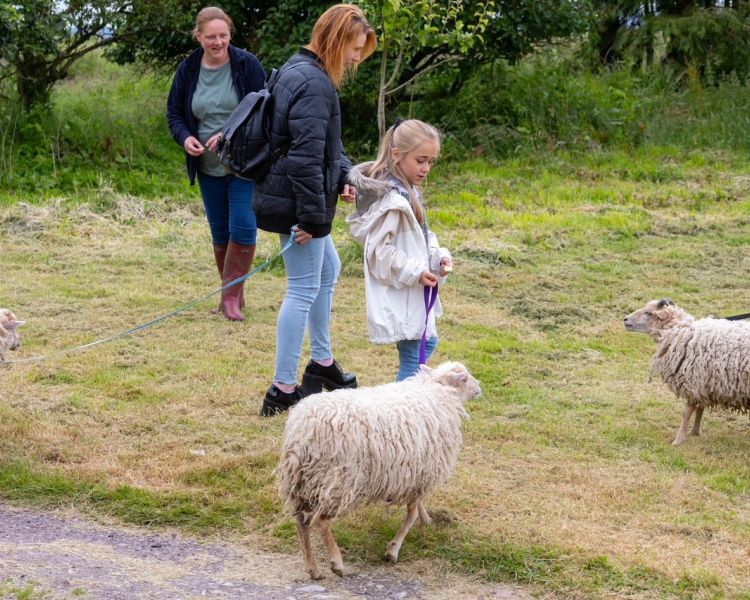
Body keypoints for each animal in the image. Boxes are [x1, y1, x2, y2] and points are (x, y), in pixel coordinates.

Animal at [277, 361, 481, 580]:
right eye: (465, 378)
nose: (479, 387)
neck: (437, 390)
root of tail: (304, 429)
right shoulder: (420, 474)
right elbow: (410, 516)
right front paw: (393, 550)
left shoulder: (416, 475)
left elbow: (417, 507)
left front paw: (426, 520)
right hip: (339, 480)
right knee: (321, 521)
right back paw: (336, 563)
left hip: (301, 480)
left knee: (301, 522)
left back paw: (313, 569)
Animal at [624, 298, 750, 446]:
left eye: (648, 312)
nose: (625, 319)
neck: (681, 331)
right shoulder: (702, 384)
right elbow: (700, 409)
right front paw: (695, 432)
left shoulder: (692, 381)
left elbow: (686, 413)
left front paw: (678, 440)